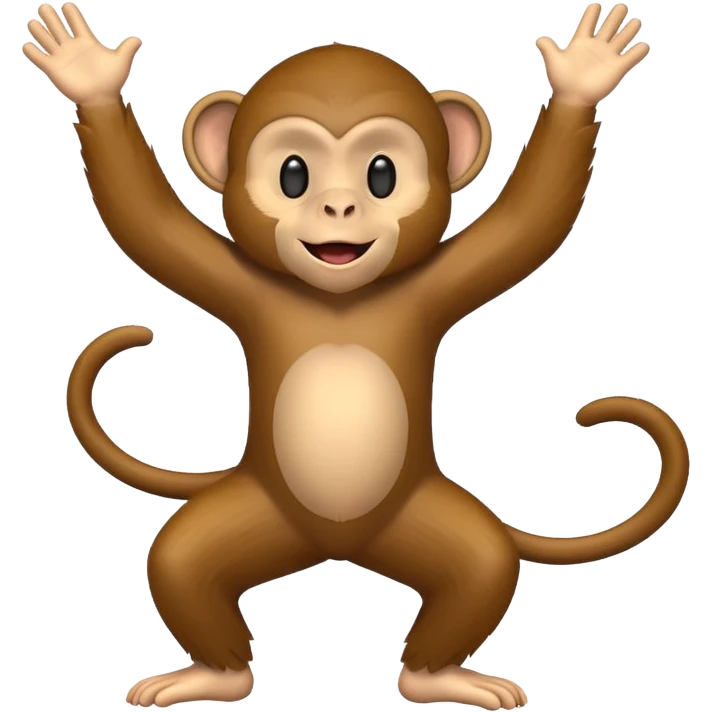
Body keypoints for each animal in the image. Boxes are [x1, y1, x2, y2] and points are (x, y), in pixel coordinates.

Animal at [24, 2, 690, 709]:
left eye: (381, 174)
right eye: (293, 174)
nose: (339, 206)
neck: (338, 298)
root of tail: (338, 544)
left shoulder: (435, 286)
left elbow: (529, 223)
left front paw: (582, 77)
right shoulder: (242, 286)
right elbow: (148, 225)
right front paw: (90, 77)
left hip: (423, 526)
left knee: (481, 567)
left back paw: (436, 676)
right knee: (179, 560)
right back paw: (218, 674)